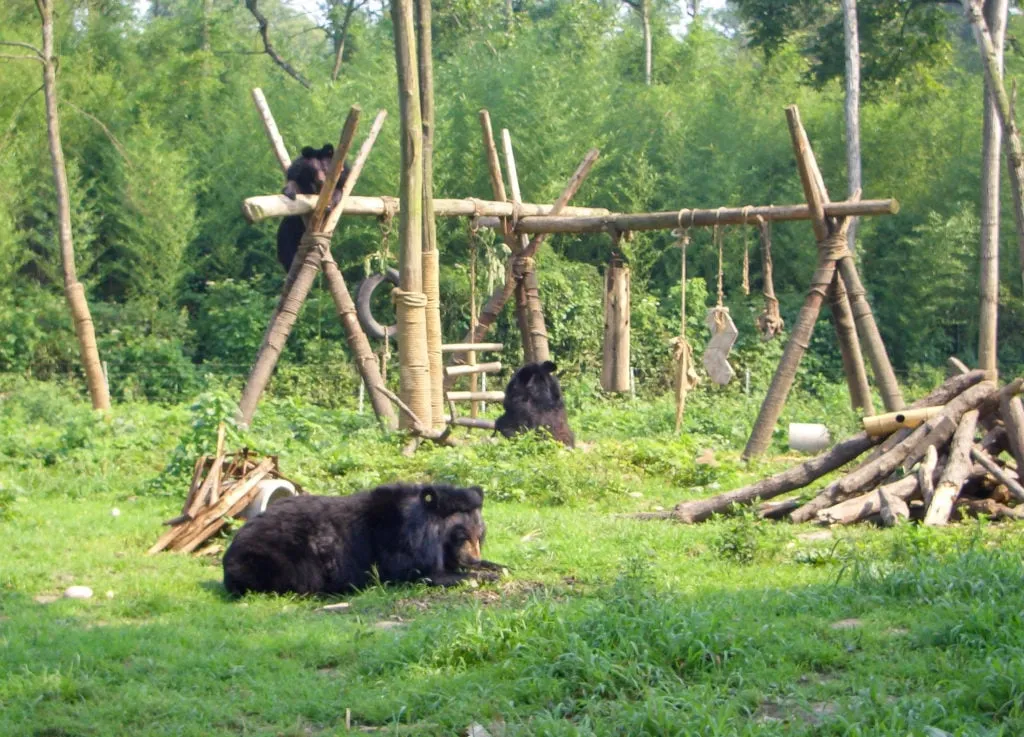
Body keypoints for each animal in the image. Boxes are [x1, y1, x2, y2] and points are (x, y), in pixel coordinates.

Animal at [221, 483, 503, 597]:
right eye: (461, 535)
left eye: (480, 535)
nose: (473, 559)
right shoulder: (398, 547)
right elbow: (423, 574)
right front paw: (480, 575)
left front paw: (496, 567)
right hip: (278, 557)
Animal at [275, 143, 350, 273]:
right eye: (313, 170)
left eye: (326, 170)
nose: (321, 180)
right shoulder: (298, 175)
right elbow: (294, 183)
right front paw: (290, 192)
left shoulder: (342, 181)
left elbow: (337, 192)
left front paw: (329, 204)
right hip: (287, 231)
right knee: (286, 251)